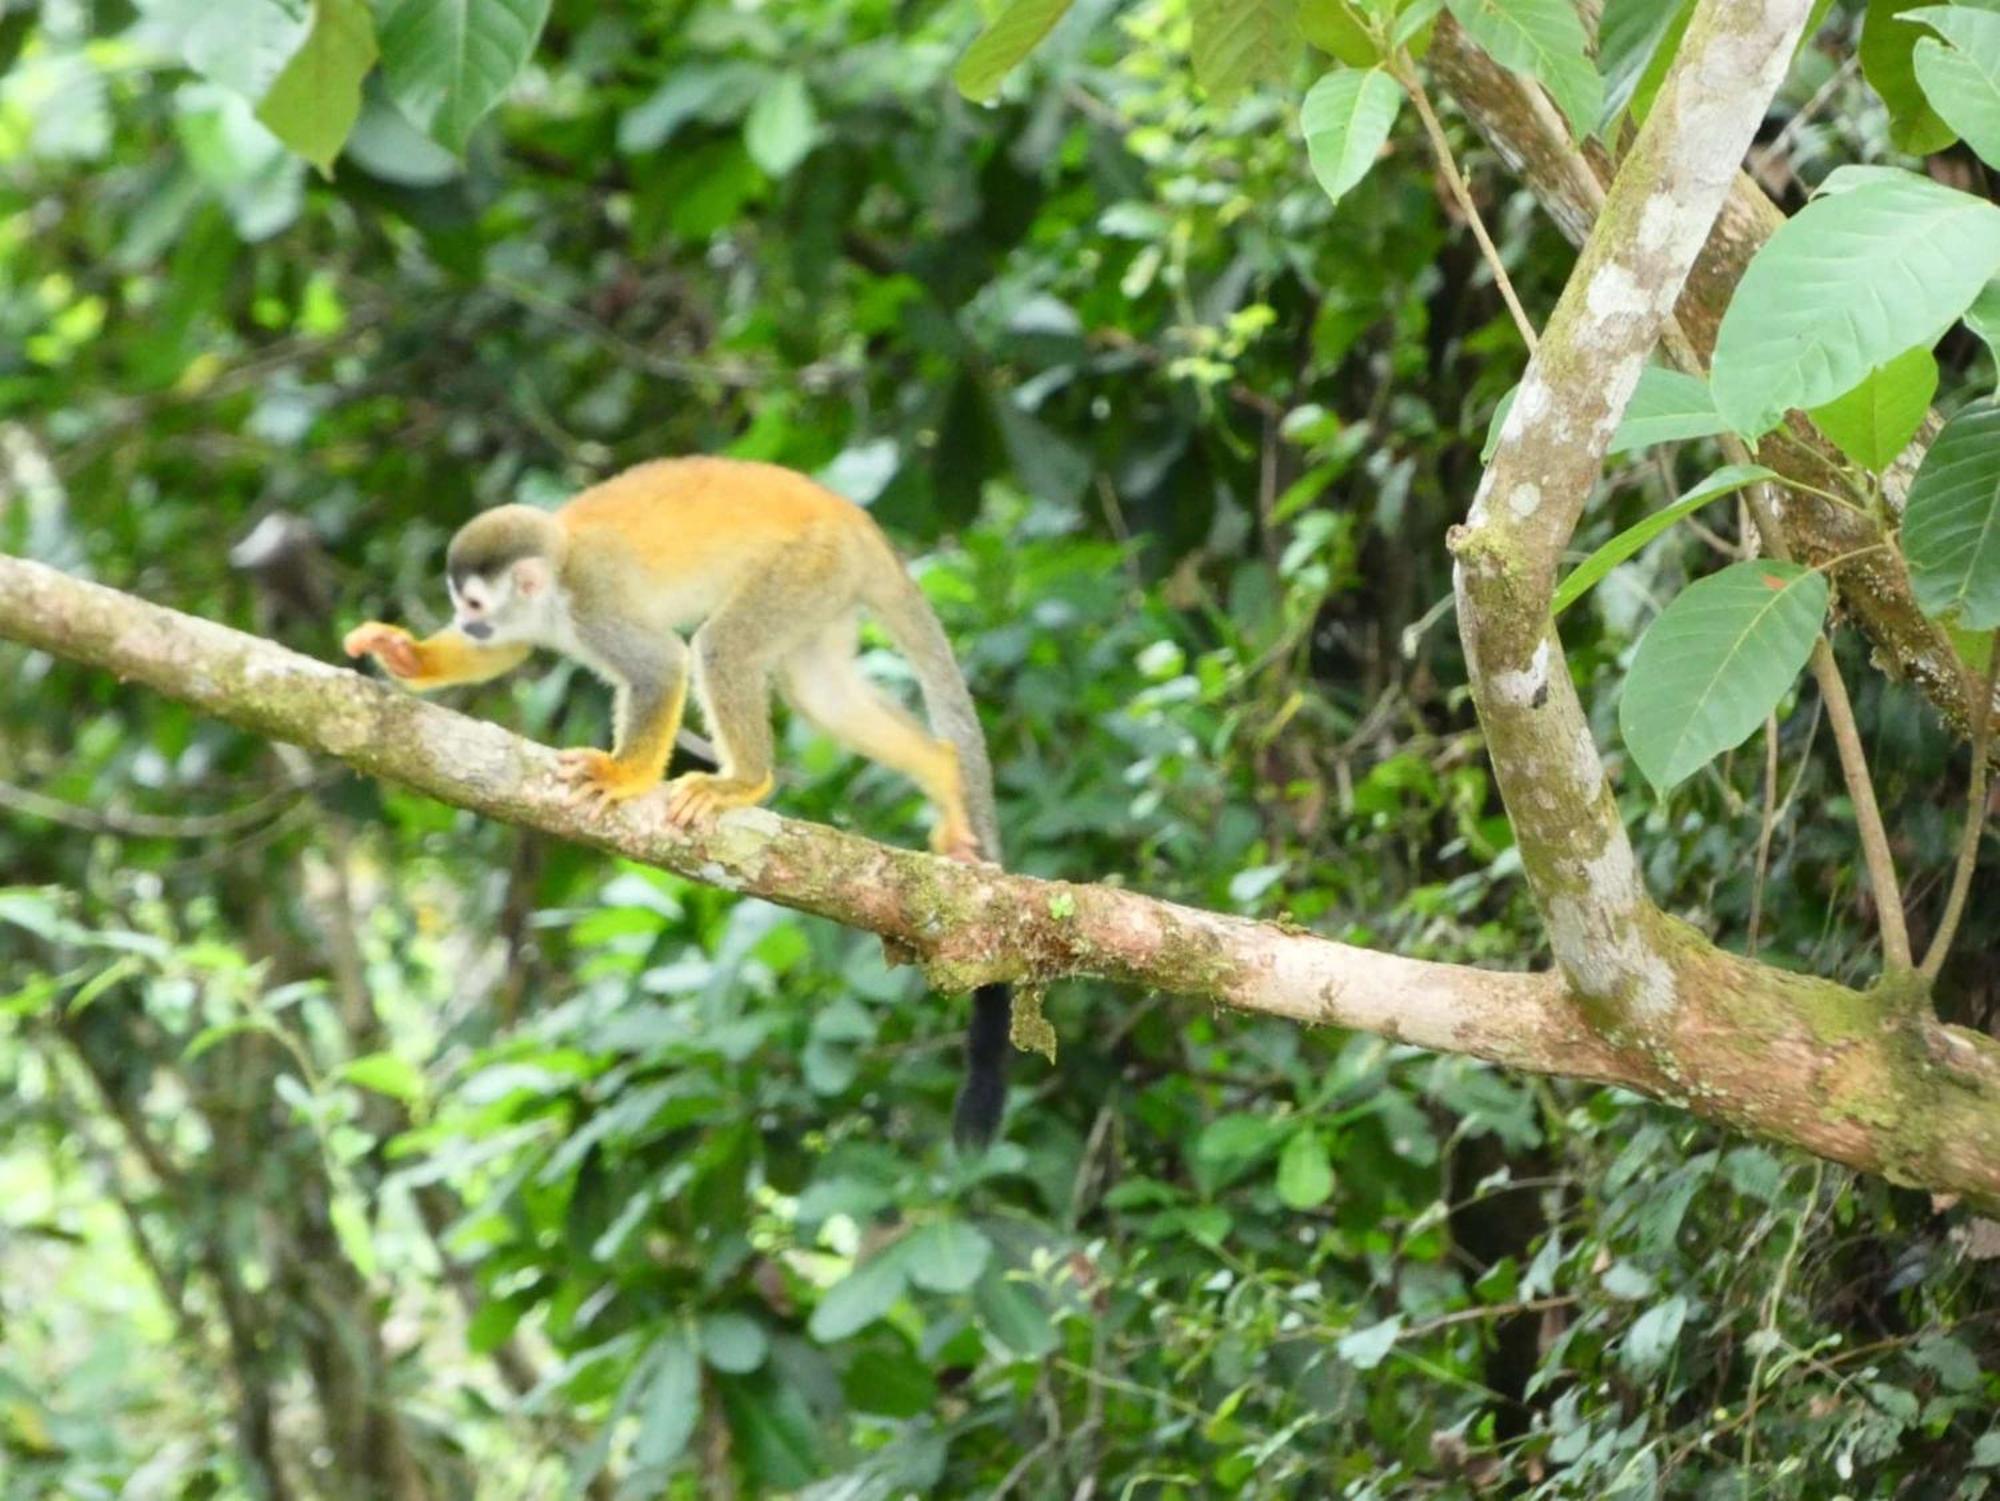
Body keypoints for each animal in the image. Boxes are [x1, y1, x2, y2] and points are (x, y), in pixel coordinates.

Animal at [342, 458, 1016, 1152]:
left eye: (473, 603)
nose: (470, 622)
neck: (555, 581)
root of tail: (853, 518)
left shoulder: (594, 602)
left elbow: (661, 666)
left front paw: (623, 775)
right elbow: (507, 651)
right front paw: (407, 656)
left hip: (810, 565)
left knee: (722, 646)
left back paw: (745, 781)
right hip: (828, 589)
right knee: (820, 691)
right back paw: (940, 769)